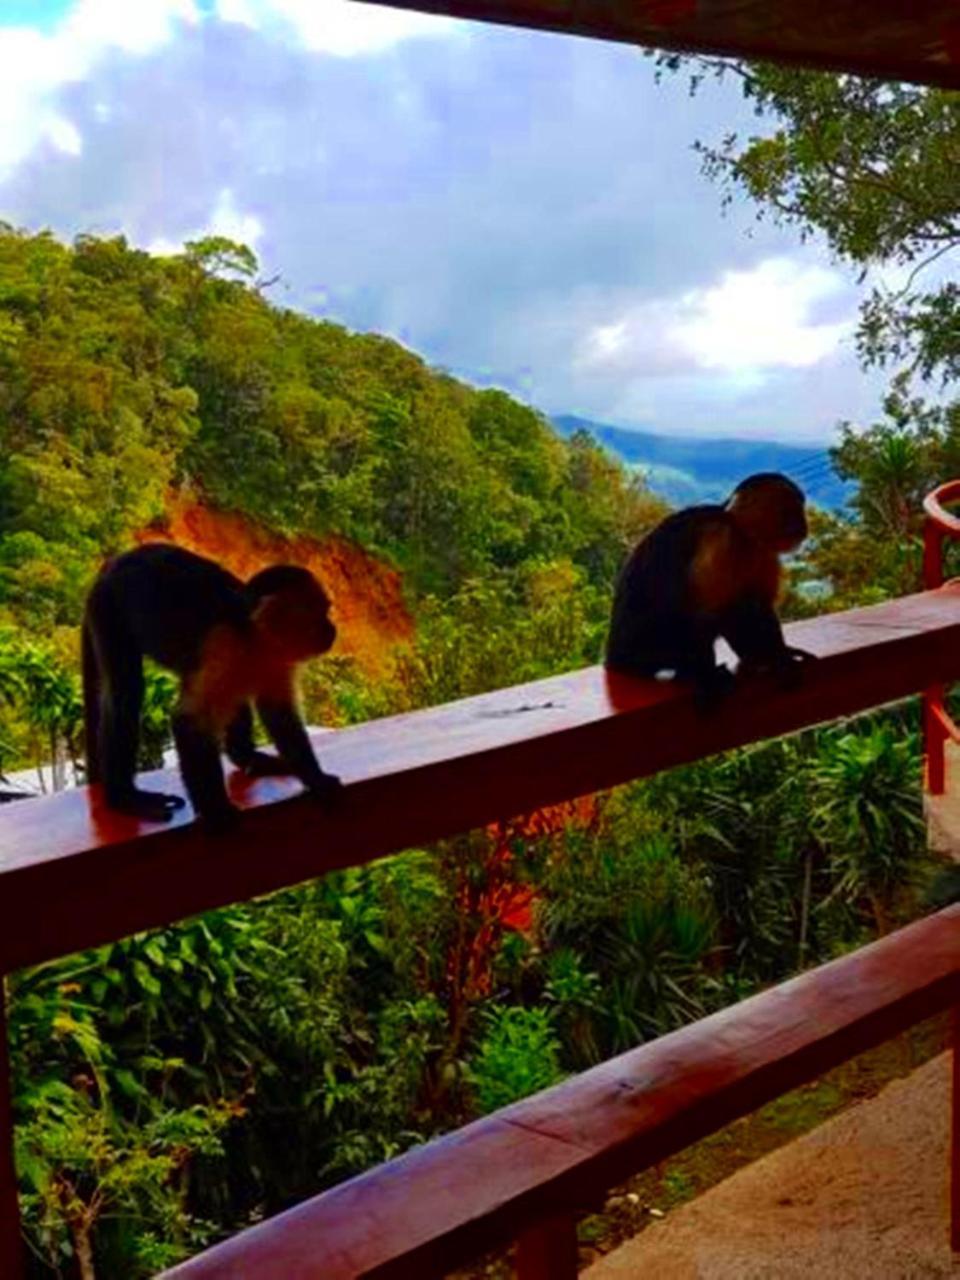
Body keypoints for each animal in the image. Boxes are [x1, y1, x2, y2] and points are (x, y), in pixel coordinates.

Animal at [82, 542, 343, 829]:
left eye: (326, 610)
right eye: (319, 613)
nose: (332, 629)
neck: (253, 637)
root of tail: (112, 563)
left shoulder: (277, 659)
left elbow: (278, 713)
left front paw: (316, 778)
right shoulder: (223, 644)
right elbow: (189, 720)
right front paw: (216, 810)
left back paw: (248, 758)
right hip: (108, 607)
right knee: (125, 692)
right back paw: (124, 797)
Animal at [604, 473, 814, 711]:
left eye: (798, 511)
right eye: (790, 512)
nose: (804, 527)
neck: (743, 535)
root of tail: (615, 658)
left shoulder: (764, 552)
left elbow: (759, 606)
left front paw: (778, 655)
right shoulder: (720, 540)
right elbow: (702, 614)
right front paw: (707, 679)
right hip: (648, 647)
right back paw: (694, 674)